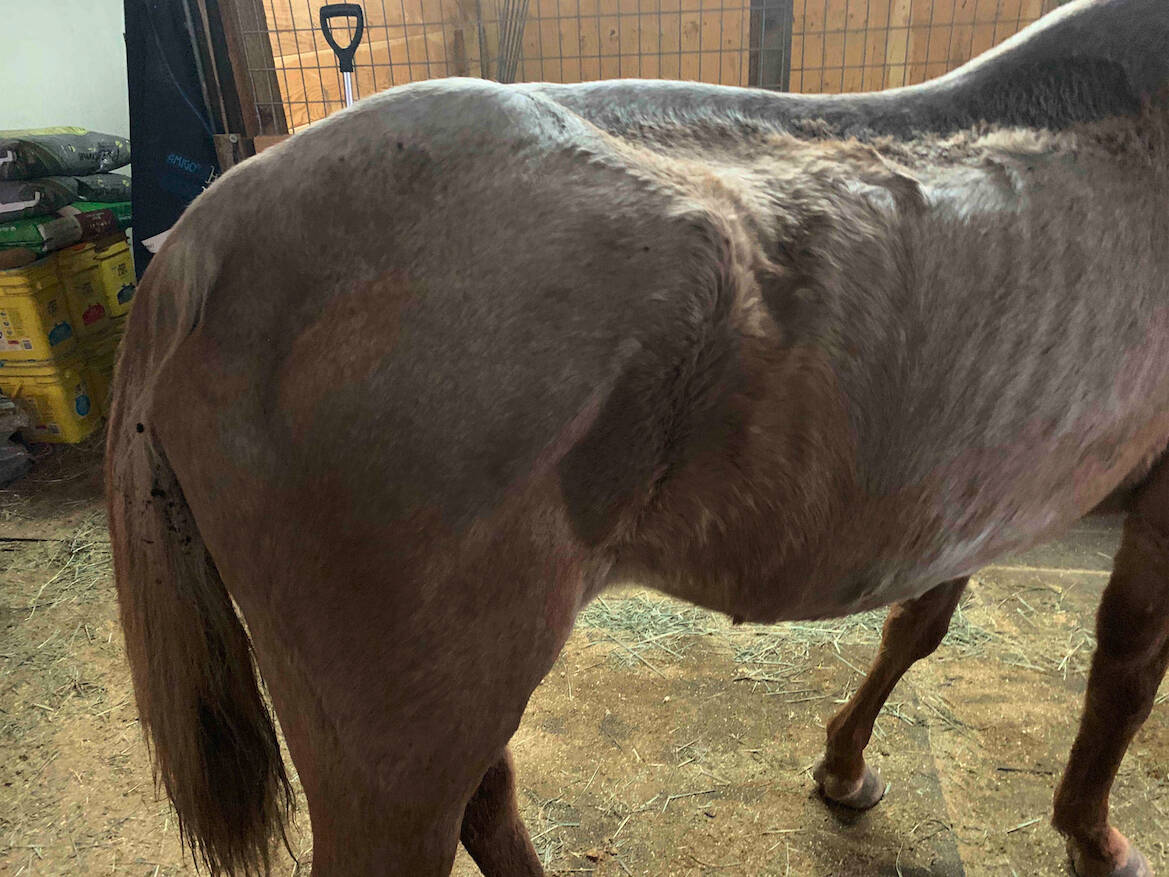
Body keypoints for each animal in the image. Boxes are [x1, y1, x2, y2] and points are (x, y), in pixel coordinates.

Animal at [106, 0, 1169, 874]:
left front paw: (843, 766)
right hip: (400, 753)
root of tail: (201, 241)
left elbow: (921, 620)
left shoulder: (972, 492)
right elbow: (1125, 663)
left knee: (486, 801)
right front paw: (1093, 836)